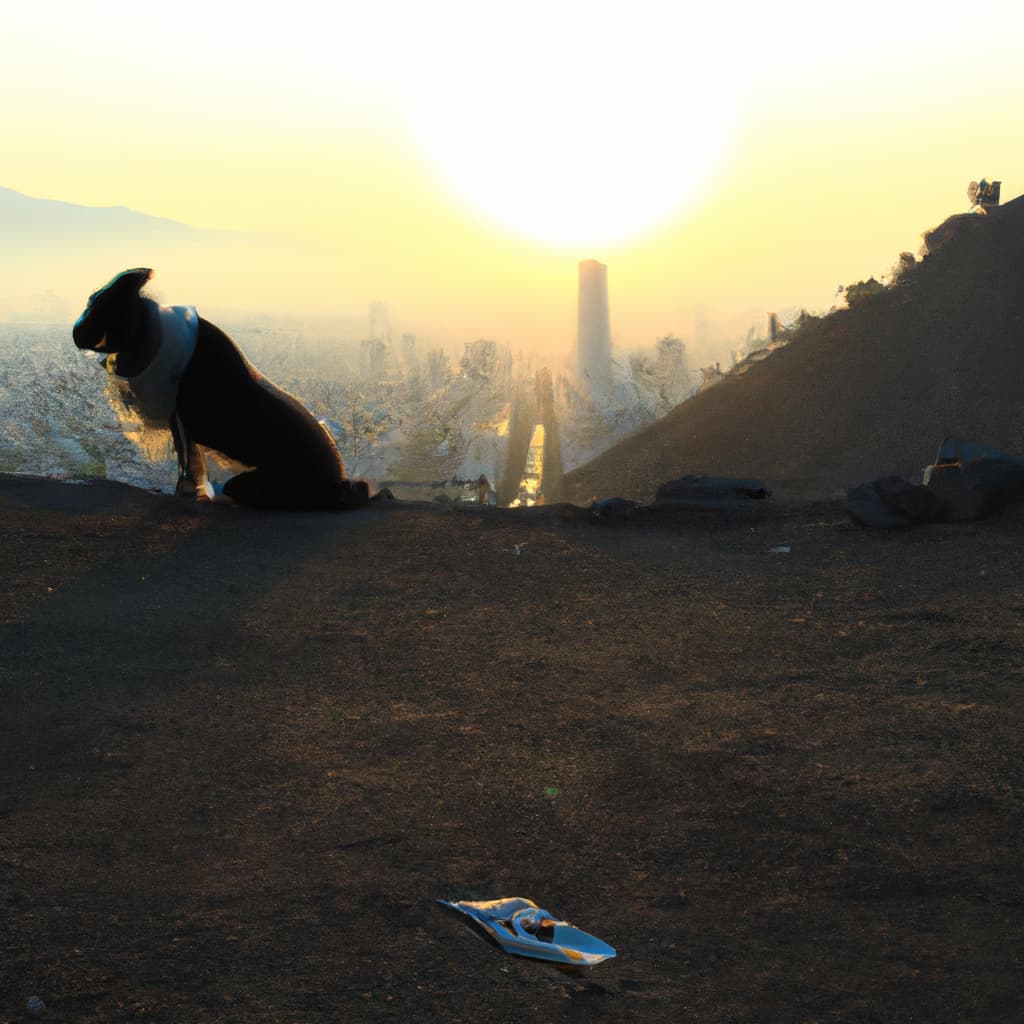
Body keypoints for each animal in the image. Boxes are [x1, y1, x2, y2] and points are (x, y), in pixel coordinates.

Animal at [73, 268, 370, 510]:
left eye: (98, 305)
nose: (75, 332)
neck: (152, 331)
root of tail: (339, 481)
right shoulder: (179, 421)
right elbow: (187, 459)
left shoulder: (181, 417)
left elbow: (187, 461)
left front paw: (188, 492)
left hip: (260, 483)